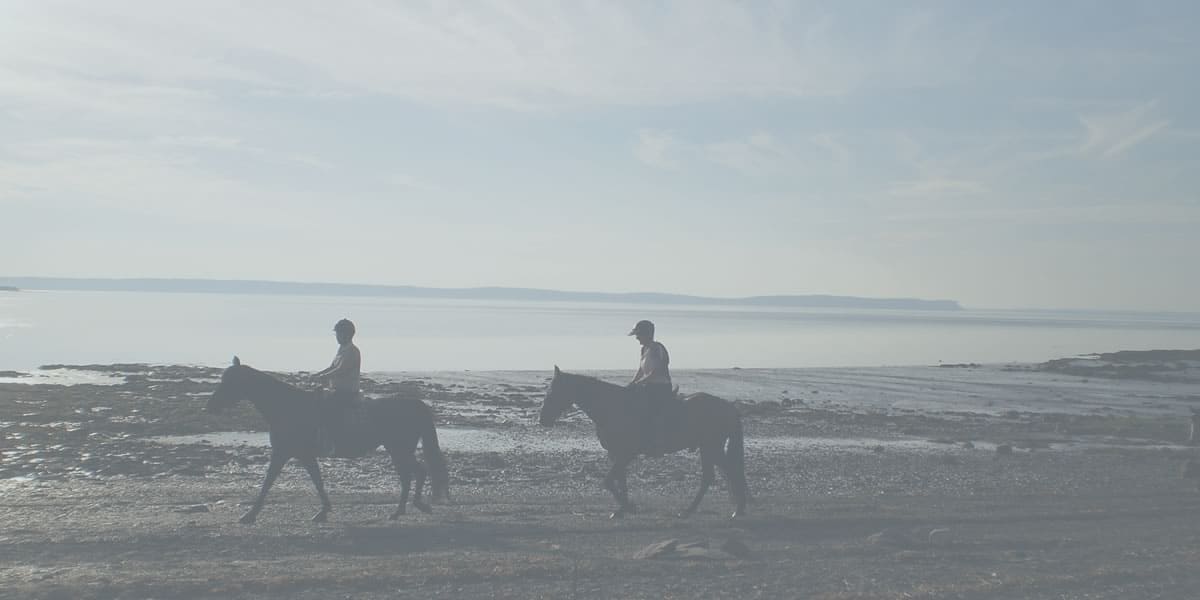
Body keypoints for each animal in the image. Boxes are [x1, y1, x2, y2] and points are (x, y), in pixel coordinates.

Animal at [206, 357, 451, 523]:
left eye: (231, 382)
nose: (211, 406)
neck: (287, 407)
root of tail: (414, 403)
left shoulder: (283, 453)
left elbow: (268, 482)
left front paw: (250, 515)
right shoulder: (303, 455)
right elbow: (317, 481)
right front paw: (323, 511)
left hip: (399, 449)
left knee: (416, 473)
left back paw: (410, 507)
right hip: (398, 450)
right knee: (412, 475)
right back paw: (402, 510)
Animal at [537, 364, 744, 520]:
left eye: (554, 391)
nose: (542, 419)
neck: (613, 407)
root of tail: (728, 406)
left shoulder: (627, 454)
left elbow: (608, 481)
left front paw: (629, 507)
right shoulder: (617, 454)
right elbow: (620, 481)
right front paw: (623, 509)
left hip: (711, 447)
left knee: (728, 473)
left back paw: (734, 510)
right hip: (708, 448)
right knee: (714, 476)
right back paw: (694, 510)